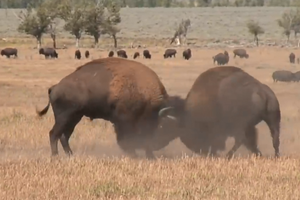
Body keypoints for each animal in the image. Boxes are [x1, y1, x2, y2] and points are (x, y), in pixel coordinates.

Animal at [35, 57, 172, 159]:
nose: (158, 145)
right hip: (64, 118)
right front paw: (133, 154)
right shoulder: (123, 121)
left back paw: (70, 155)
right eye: (162, 125)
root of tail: (55, 87)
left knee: (64, 136)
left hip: (74, 118)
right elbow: (126, 138)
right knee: (54, 134)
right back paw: (55, 156)